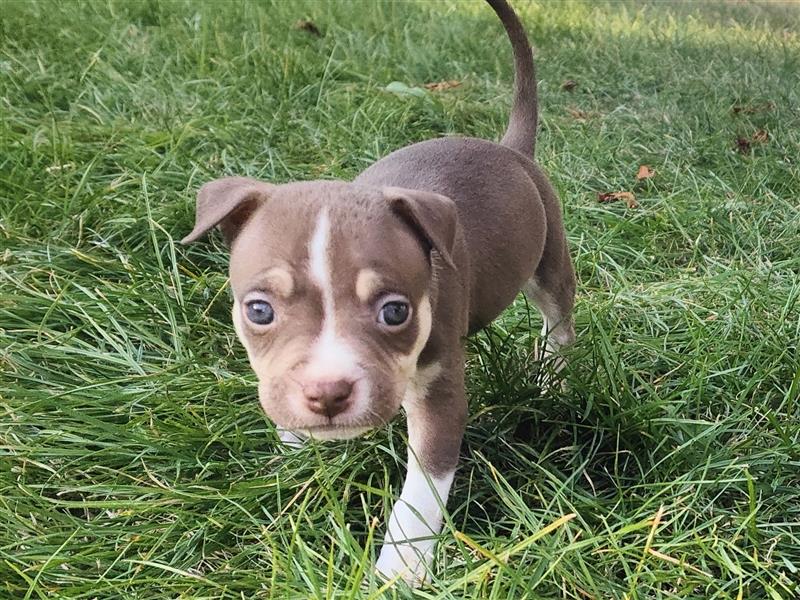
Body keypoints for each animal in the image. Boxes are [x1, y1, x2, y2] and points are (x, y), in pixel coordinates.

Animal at [181, 0, 576, 584]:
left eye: (395, 313)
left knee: (558, 320)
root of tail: (510, 148)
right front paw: (297, 455)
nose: (326, 394)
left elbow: (421, 490)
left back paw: (551, 376)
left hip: (550, 261)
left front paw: (401, 569)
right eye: (259, 310)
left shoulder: (440, 398)